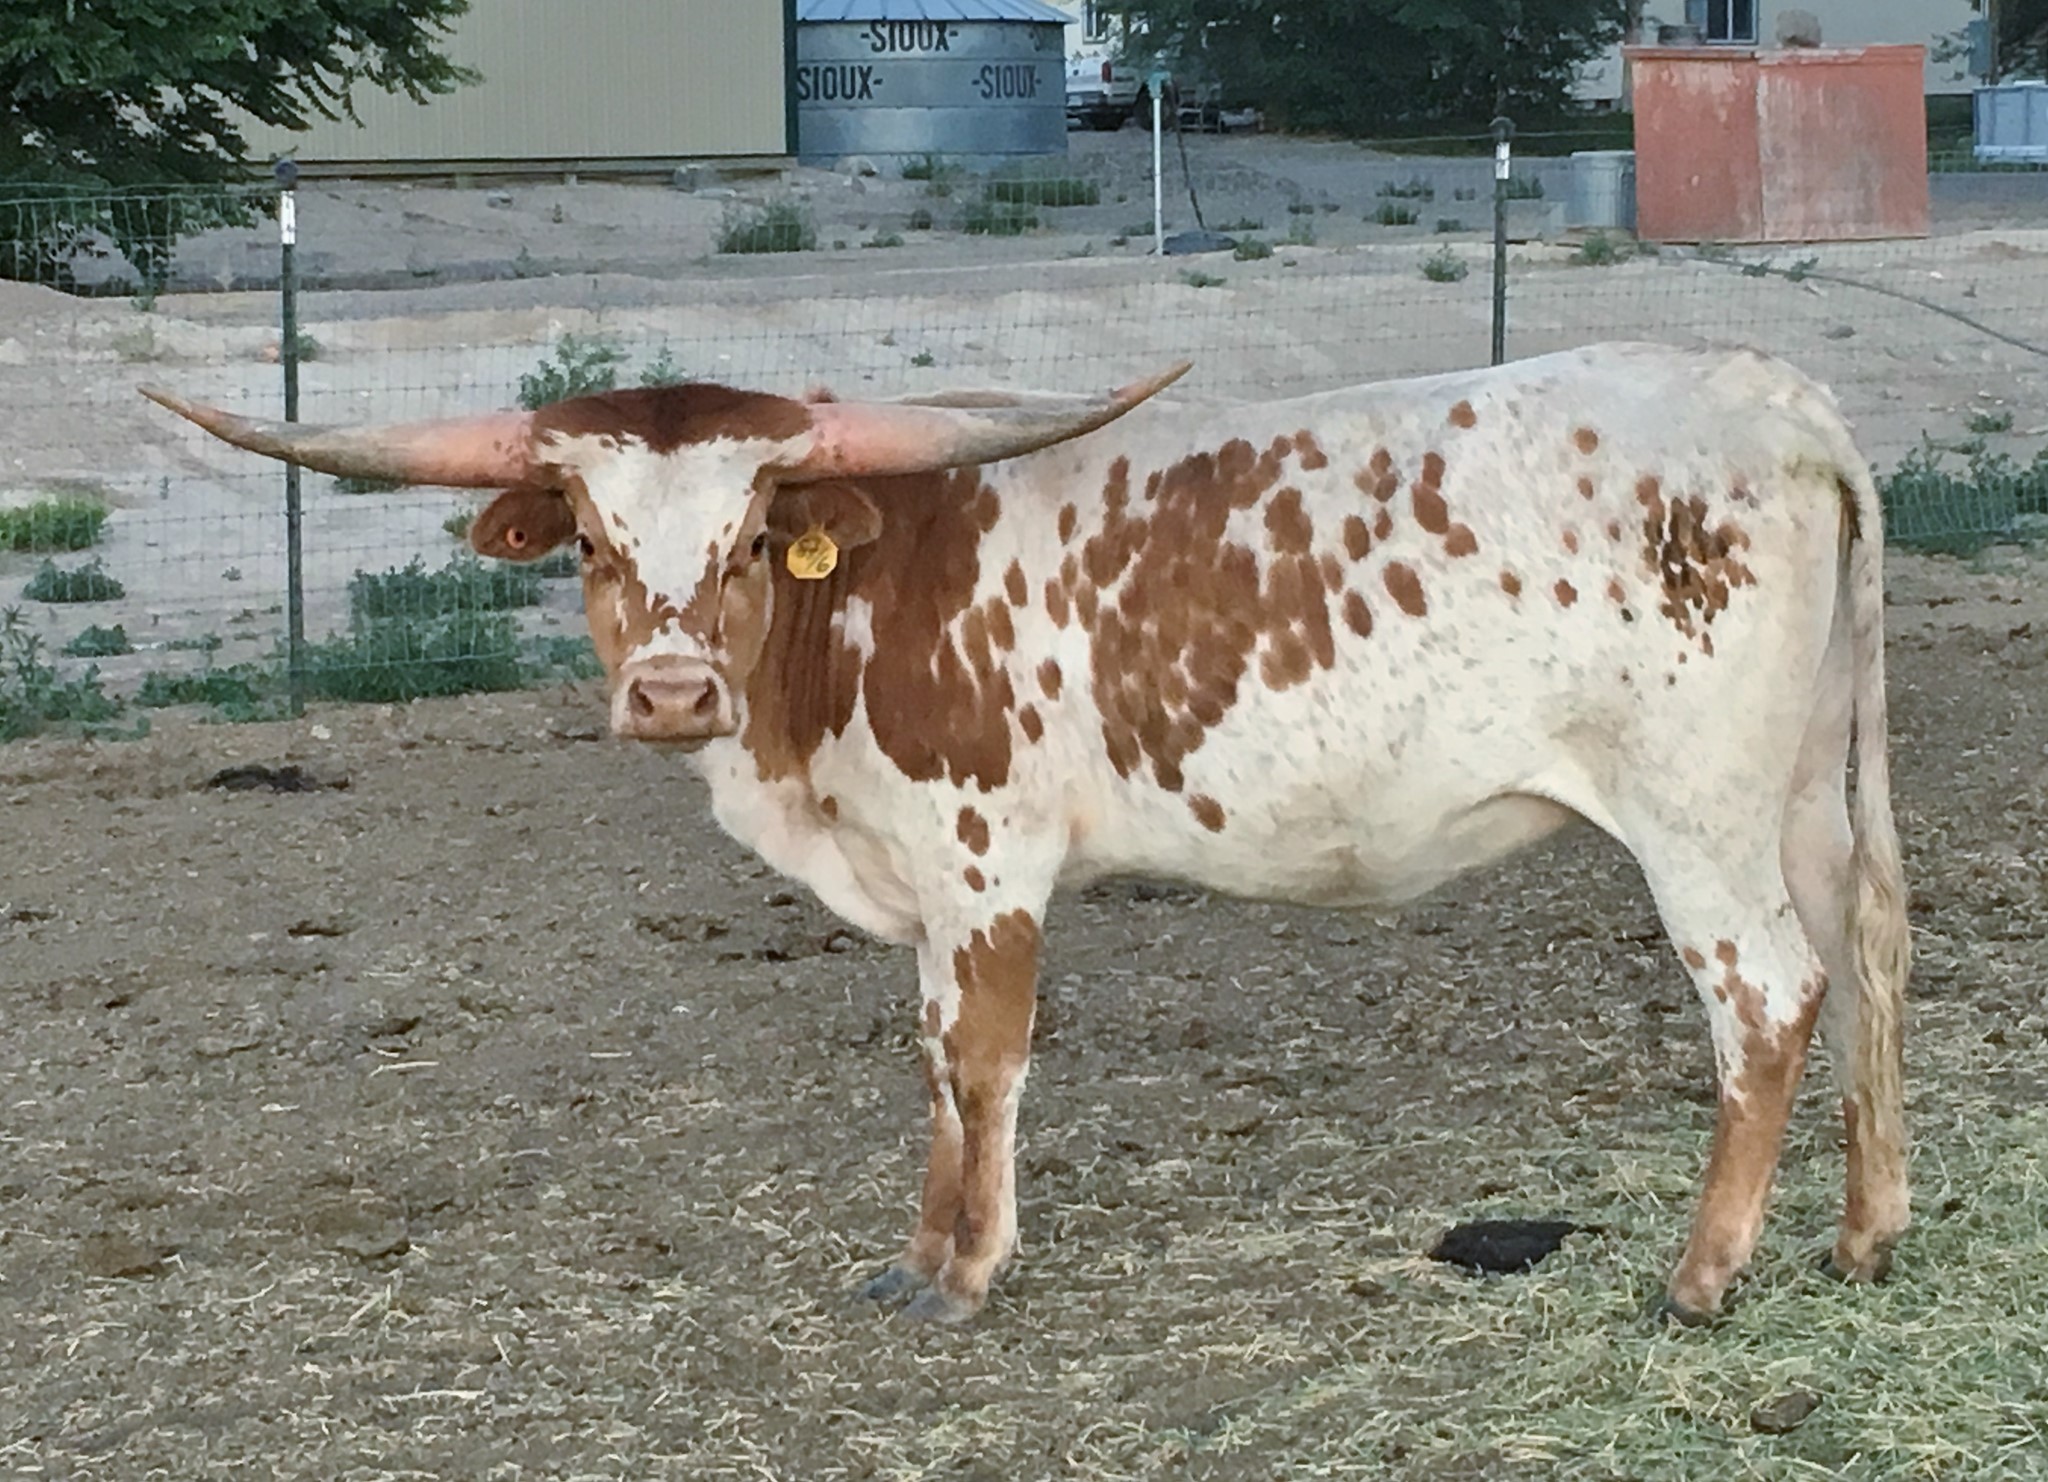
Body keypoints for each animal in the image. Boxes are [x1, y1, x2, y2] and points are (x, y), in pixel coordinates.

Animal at [142, 341, 1909, 1326]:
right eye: (583, 535)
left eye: (750, 532)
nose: (671, 689)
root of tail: (1775, 398)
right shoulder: (921, 879)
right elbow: (930, 1054)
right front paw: (918, 1254)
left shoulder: (985, 859)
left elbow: (983, 1055)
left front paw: (972, 1273)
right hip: (1807, 789)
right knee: (1870, 953)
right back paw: (1863, 1236)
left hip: (1695, 813)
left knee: (1769, 993)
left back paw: (1703, 1274)